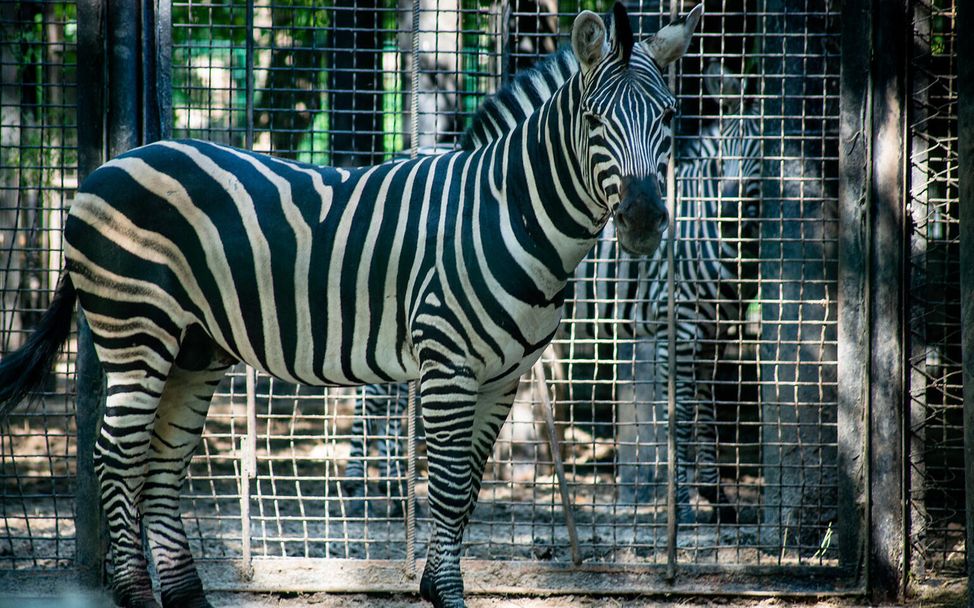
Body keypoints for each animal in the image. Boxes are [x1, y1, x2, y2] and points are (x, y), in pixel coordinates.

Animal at [0, 5, 700, 608]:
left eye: (668, 119)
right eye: (596, 120)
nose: (644, 220)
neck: (507, 213)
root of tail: (109, 164)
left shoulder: (505, 375)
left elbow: (471, 486)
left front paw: (434, 583)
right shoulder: (446, 364)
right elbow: (448, 488)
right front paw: (444, 594)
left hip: (194, 348)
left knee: (163, 466)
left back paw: (189, 598)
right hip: (137, 333)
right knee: (116, 458)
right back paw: (137, 596)